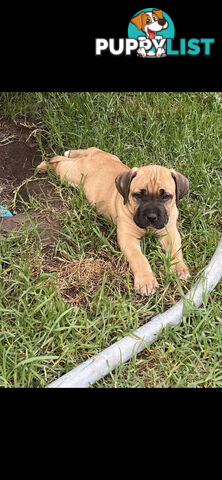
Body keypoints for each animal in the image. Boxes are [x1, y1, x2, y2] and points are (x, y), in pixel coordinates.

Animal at [37, 147, 190, 296]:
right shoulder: (128, 238)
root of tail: (92, 154)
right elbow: (139, 258)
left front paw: (179, 268)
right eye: (138, 195)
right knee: (58, 162)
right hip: (68, 174)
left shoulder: (169, 232)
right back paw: (43, 165)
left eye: (166, 196)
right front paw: (146, 281)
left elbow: (176, 249)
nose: (151, 217)